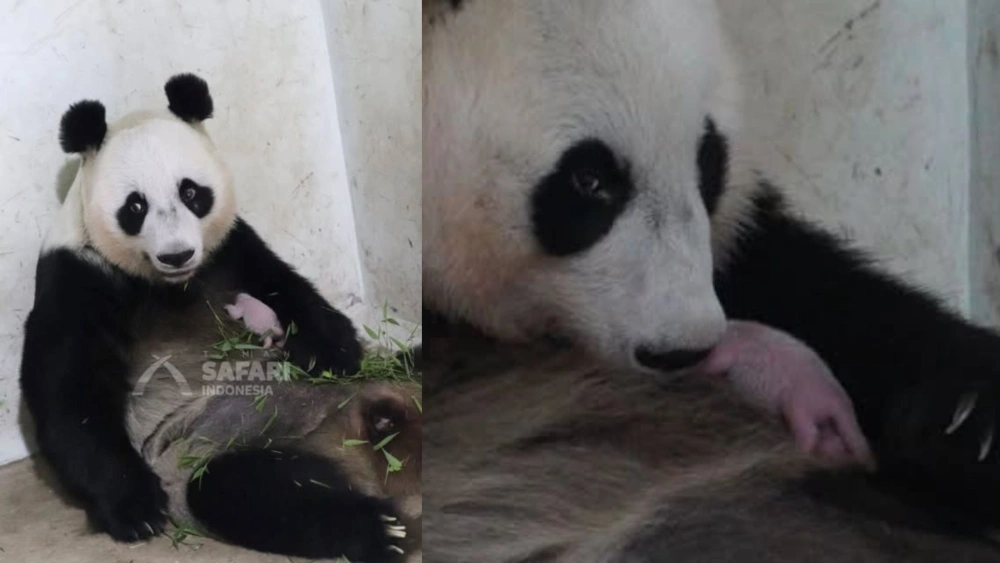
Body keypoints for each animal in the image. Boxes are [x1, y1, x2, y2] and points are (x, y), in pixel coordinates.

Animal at [19, 74, 420, 562]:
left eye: (190, 192)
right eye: (135, 206)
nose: (176, 254)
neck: (168, 285)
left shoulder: (230, 250)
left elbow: (289, 290)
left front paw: (332, 354)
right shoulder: (77, 277)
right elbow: (69, 395)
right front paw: (136, 508)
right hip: (217, 449)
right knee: (250, 492)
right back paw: (378, 528)